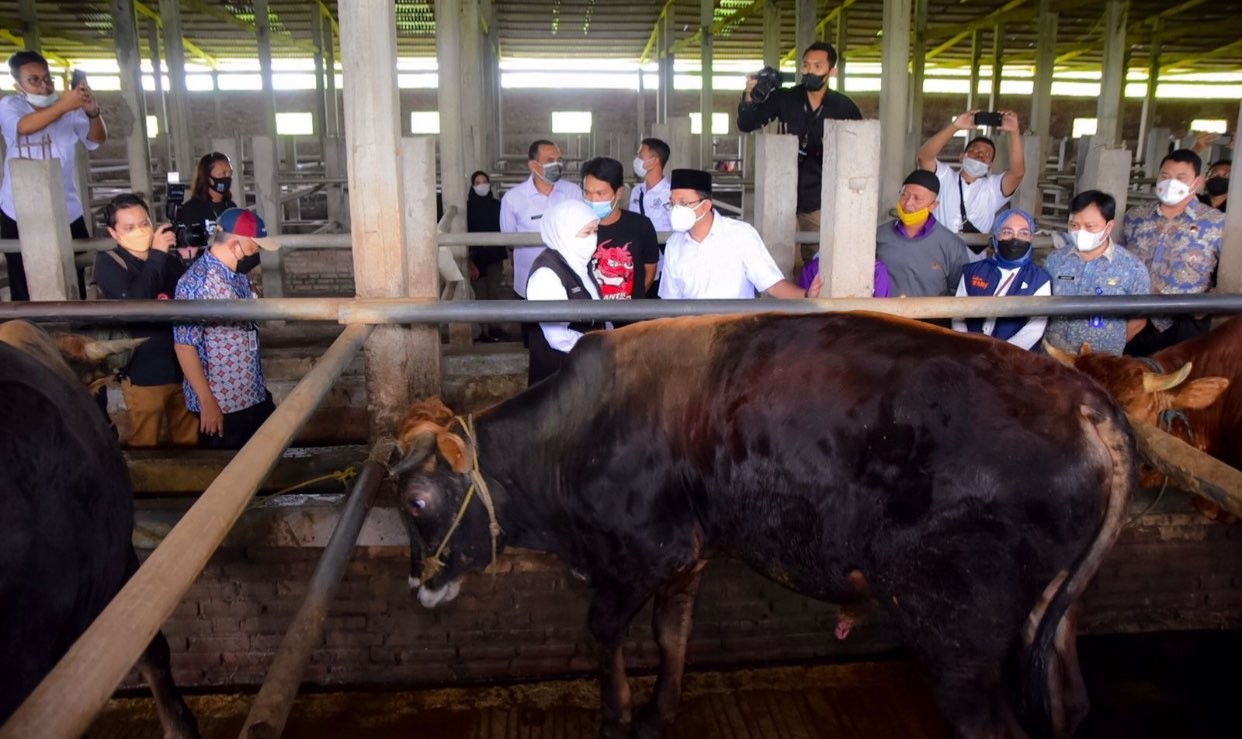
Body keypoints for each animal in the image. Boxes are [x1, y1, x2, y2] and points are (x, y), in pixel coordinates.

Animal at [389, 314, 1137, 739]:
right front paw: (657, 715)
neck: (576, 436)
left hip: (961, 632)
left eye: (417, 502)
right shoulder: (685, 557)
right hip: (1051, 608)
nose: (417, 585)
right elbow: (672, 635)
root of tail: (1082, 398)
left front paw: (617, 715)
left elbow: (603, 632)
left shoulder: (638, 555)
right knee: (1069, 702)